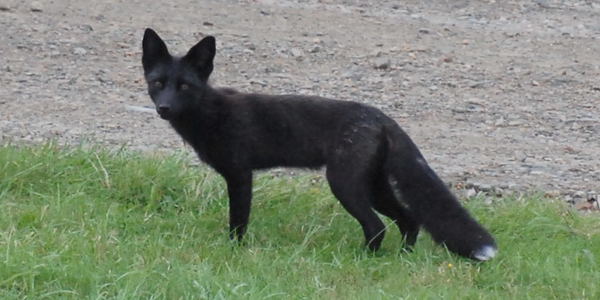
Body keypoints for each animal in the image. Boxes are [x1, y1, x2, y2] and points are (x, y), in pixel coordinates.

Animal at [141, 29, 496, 262]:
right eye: (158, 83)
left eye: (184, 86)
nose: (165, 109)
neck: (210, 114)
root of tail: (380, 118)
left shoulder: (240, 175)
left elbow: (238, 223)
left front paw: (234, 253)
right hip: (373, 186)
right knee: (409, 219)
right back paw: (401, 259)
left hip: (344, 185)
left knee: (377, 226)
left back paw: (365, 262)